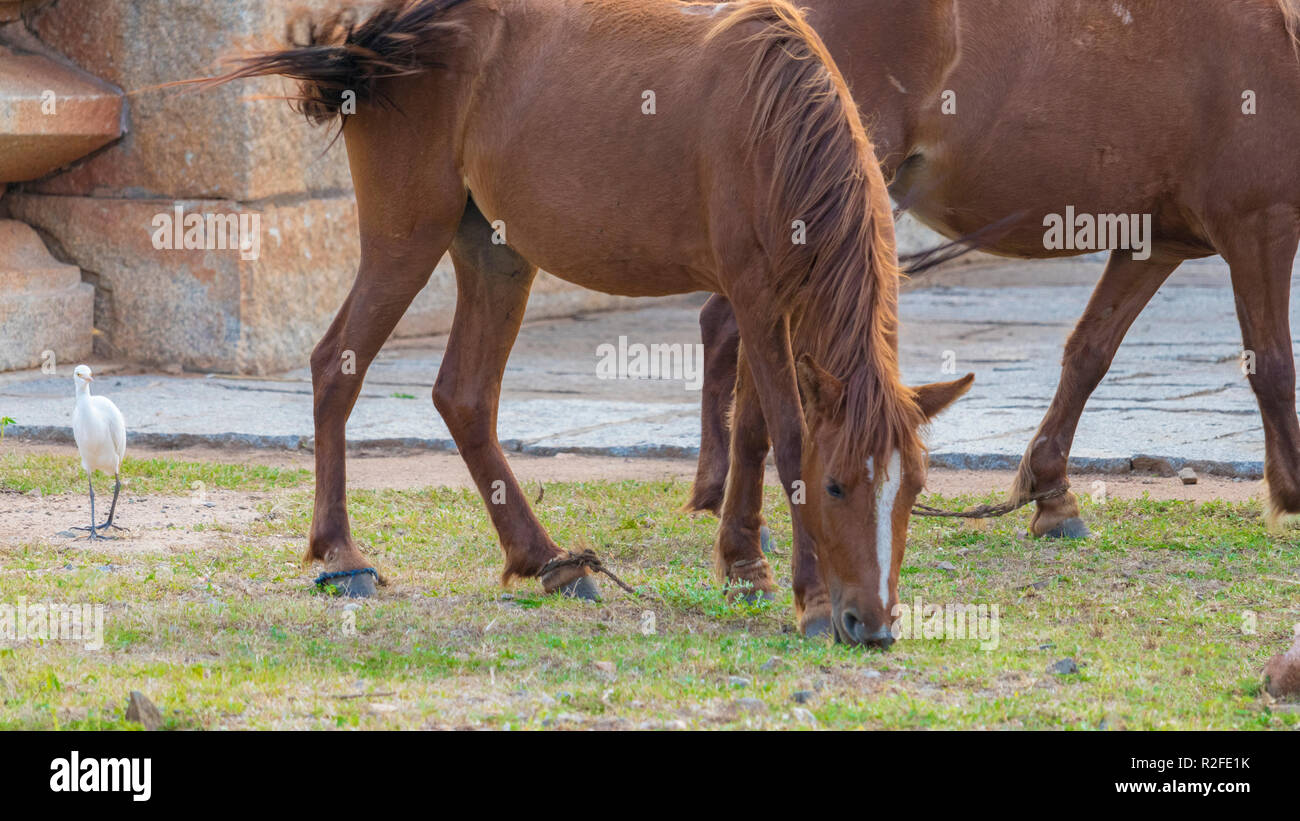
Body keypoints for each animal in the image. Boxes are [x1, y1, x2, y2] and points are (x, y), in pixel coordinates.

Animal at [211, 0, 973, 645]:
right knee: (335, 365)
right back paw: (341, 555)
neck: (774, 122)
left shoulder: (772, 302)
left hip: (495, 253)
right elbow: (787, 437)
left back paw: (546, 558)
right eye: (837, 485)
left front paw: (744, 565)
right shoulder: (755, 295)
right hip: (407, 239)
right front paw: (808, 597)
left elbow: (752, 428)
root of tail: (382, 38)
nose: (873, 624)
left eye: (914, 488)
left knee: (463, 395)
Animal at [690, 0, 1300, 540]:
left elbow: (1090, 353)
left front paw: (1053, 495)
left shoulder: (1155, 244)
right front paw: (1292, 492)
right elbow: (1272, 365)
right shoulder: (1260, 226)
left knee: (726, 326)